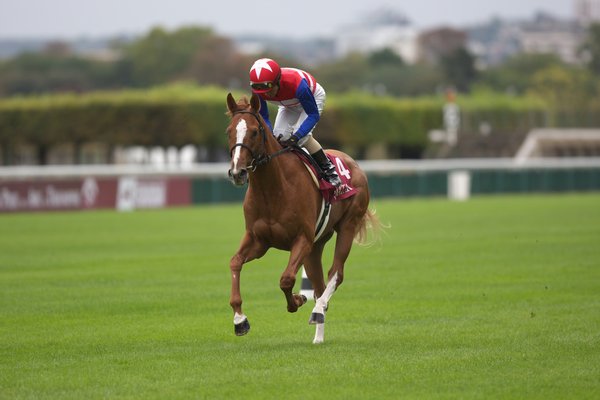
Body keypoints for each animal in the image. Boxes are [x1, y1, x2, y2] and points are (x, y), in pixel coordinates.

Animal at [225, 92, 380, 342]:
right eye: (228, 131)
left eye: (255, 131)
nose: (237, 172)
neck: (273, 189)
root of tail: (353, 162)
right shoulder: (258, 240)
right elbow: (235, 262)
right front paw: (240, 320)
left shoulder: (302, 239)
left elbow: (286, 279)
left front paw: (297, 300)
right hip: (316, 245)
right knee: (318, 285)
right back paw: (318, 336)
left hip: (347, 226)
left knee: (336, 273)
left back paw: (317, 311)